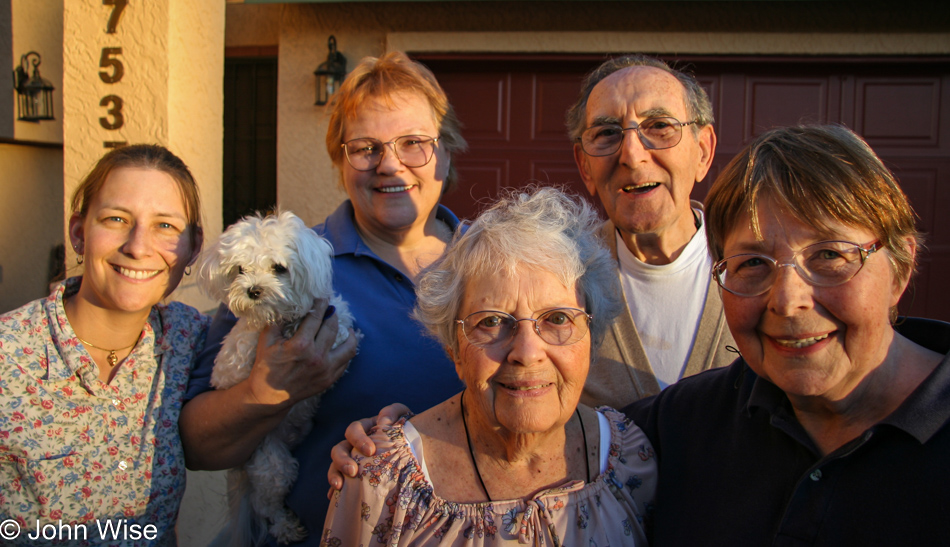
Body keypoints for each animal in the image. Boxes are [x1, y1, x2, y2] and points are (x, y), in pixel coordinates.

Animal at [197, 210, 356, 544]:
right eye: (240, 270)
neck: (285, 320)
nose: (253, 290)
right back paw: (285, 527)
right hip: (271, 465)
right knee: (265, 505)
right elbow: (238, 350)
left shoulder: (335, 317)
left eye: (279, 268)